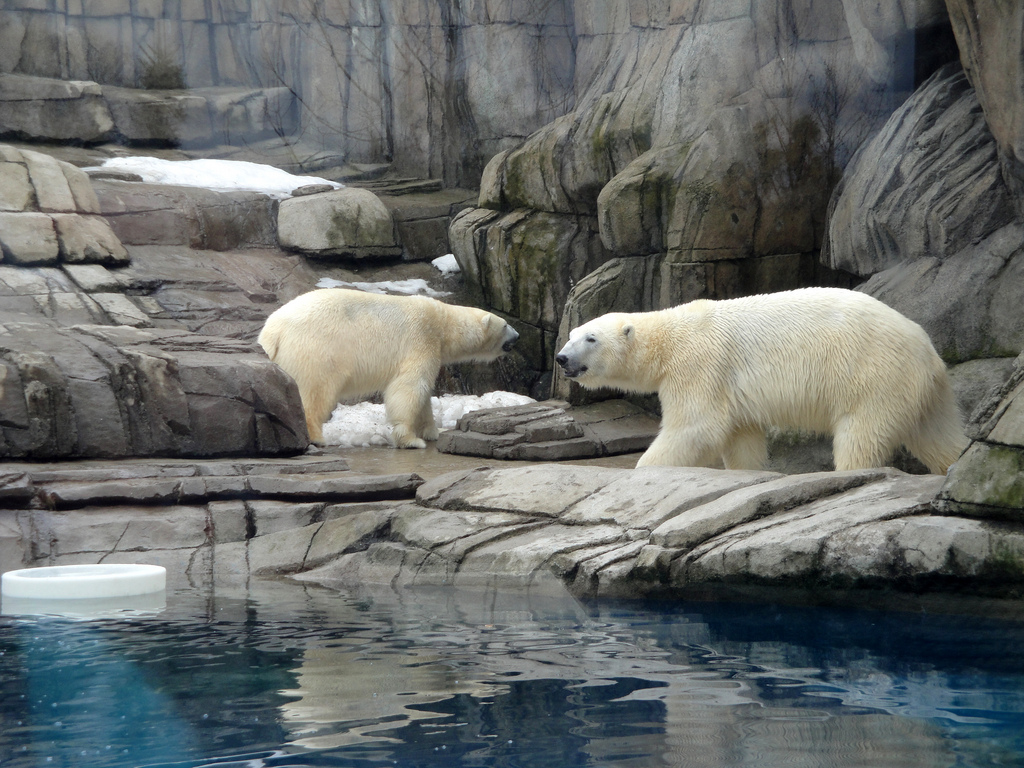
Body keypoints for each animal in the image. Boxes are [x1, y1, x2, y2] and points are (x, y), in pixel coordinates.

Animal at [258, 288, 519, 447]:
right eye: (506, 324)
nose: (518, 336)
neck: (442, 322)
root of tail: (272, 331)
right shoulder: (420, 339)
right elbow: (410, 387)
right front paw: (411, 440)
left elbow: (423, 397)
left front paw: (433, 432)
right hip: (316, 350)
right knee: (315, 391)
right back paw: (317, 438)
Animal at [555, 287, 968, 474]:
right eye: (571, 333)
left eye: (590, 338)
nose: (561, 358)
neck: (671, 335)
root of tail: (928, 350)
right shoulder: (727, 386)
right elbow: (741, 437)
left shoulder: (700, 363)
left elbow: (696, 427)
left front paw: (645, 470)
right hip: (920, 388)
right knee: (938, 434)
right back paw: (956, 465)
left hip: (875, 376)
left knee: (863, 434)